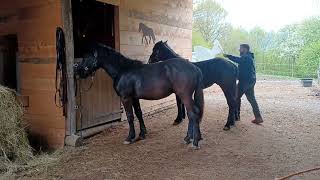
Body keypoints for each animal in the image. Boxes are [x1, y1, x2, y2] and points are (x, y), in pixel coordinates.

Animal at [74, 43, 204, 148]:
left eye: (86, 57)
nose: (78, 72)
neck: (123, 70)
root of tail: (194, 68)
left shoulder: (126, 98)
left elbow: (130, 117)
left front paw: (129, 137)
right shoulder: (135, 98)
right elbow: (139, 114)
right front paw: (142, 134)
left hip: (185, 96)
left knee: (192, 114)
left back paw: (193, 141)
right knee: (193, 114)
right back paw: (190, 138)